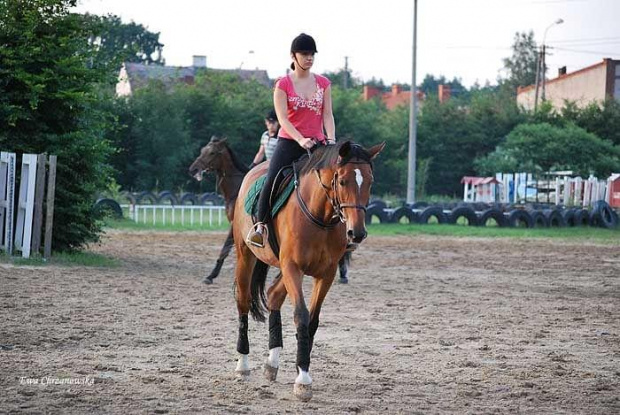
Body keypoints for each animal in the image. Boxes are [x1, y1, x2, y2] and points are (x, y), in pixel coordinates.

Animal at [186, 136, 352, 286]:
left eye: (212, 153)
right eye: (202, 151)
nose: (193, 169)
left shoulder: (234, 225)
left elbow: (225, 249)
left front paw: (211, 275)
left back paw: (342, 273)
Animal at [230, 141, 382, 404]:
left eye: (370, 181)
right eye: (343, 181)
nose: (357, 233)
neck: (320, 217)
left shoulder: (326, 274)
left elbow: (312, 321)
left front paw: (302, 369)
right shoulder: (293, 267)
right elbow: (301, 316)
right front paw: (302, 381)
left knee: (273, 295)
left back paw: (272, 363)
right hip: (246, 255)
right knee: (243, 301)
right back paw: (243, 365)